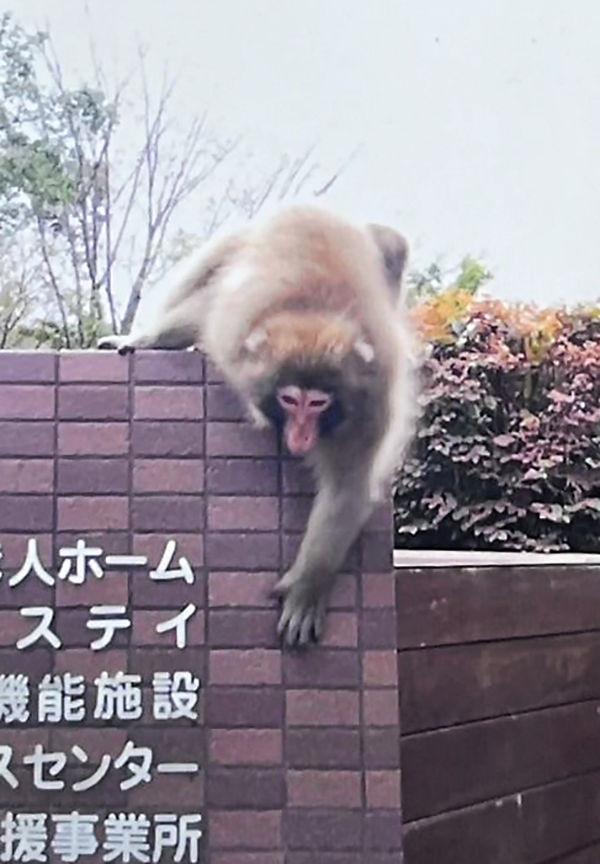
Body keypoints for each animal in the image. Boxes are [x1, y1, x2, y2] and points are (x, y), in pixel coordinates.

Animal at [98, 206, 417, 647]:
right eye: (290, 400)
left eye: (318, 403)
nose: (300, 435)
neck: (310, 314)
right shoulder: (233, 332)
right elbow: (205, 308)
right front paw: (145, 339)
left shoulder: (369, 403)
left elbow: (347, 489)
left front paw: (308, 584)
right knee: (213, 263)